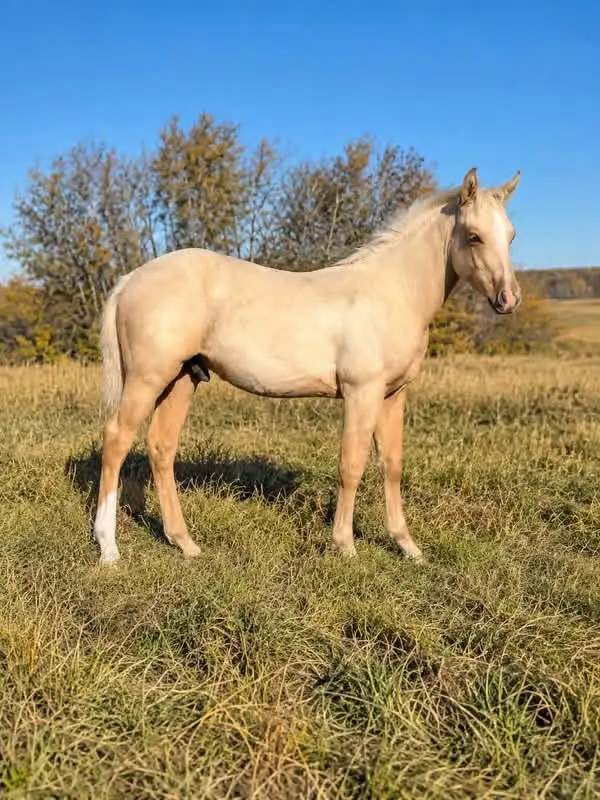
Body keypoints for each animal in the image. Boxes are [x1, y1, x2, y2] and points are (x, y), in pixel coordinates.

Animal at [92, 166, 522, 566]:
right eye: (474, 236)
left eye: (511, 235)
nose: (509, 299)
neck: (391, 293)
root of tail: (131, 278)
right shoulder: (361, 393)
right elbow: (351, 465)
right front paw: (345, 546)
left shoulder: (393, 395)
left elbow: (391, 465)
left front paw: (407, 547)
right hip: (148, 378)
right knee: (116, 438)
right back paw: (108, 547)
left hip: (183, 378)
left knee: (160, 446)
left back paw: (185, 543)